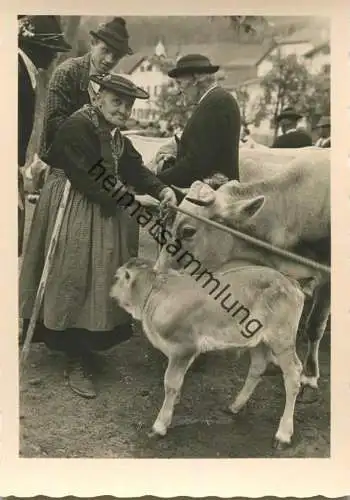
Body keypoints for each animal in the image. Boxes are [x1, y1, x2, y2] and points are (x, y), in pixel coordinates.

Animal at [110, 258, 304, 450]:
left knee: (293, 374)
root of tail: (290, 282)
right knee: (258, 365)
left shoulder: (183, 347)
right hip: (257, 339)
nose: (111, 294)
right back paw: (235, 406)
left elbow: (171, 383)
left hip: (282, 337)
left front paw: (159, 426)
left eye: (118, 277)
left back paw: (283, 435)